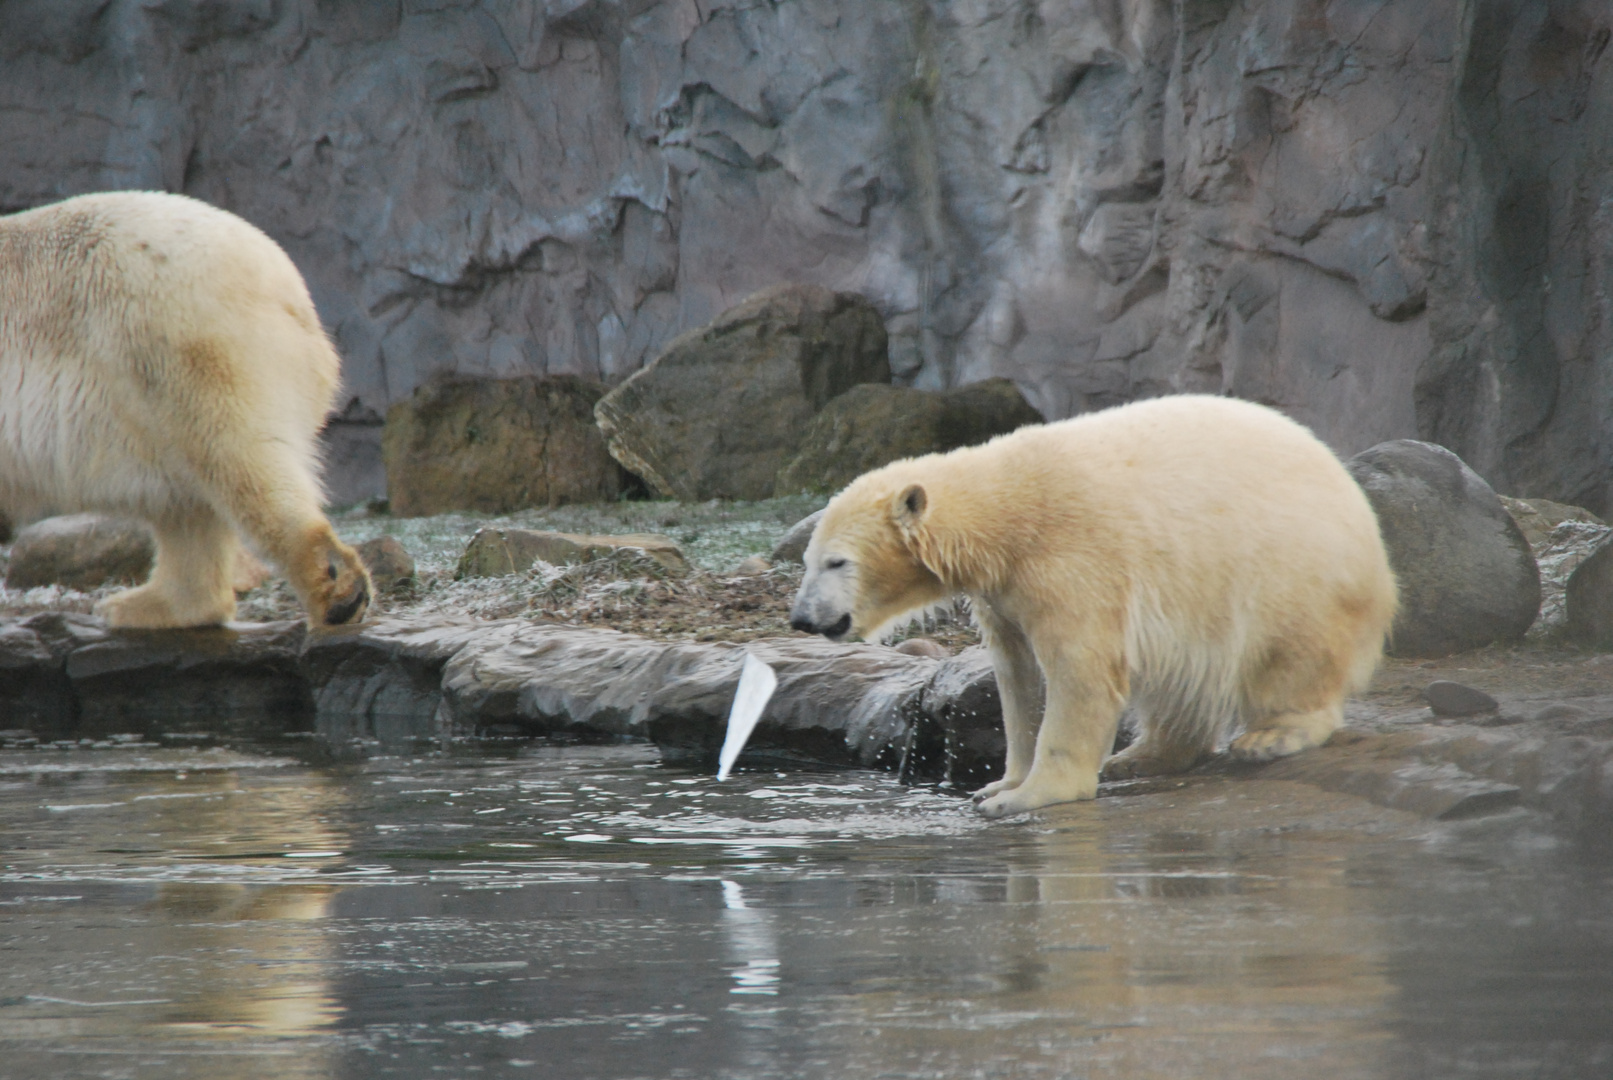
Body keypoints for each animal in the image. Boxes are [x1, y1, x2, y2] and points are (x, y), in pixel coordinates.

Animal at [1, 193, 370, 631]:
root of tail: (289, 293)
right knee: (187, 506)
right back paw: (143, 604)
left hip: (174, 346)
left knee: (239, 461)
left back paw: (336, 592)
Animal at [793, 398, 1400, 822]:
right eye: (808, 559)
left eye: (836, 562)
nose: (801, 618)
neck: (1008, 515)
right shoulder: (1004, 592)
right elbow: (1017, 677)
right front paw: (1000, 782)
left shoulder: (1071, 562)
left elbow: (1079, 670)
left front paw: (1028, 796)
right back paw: (1141, 755)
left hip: (1289, 572)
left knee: (1291, 655)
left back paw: (1272, 736)